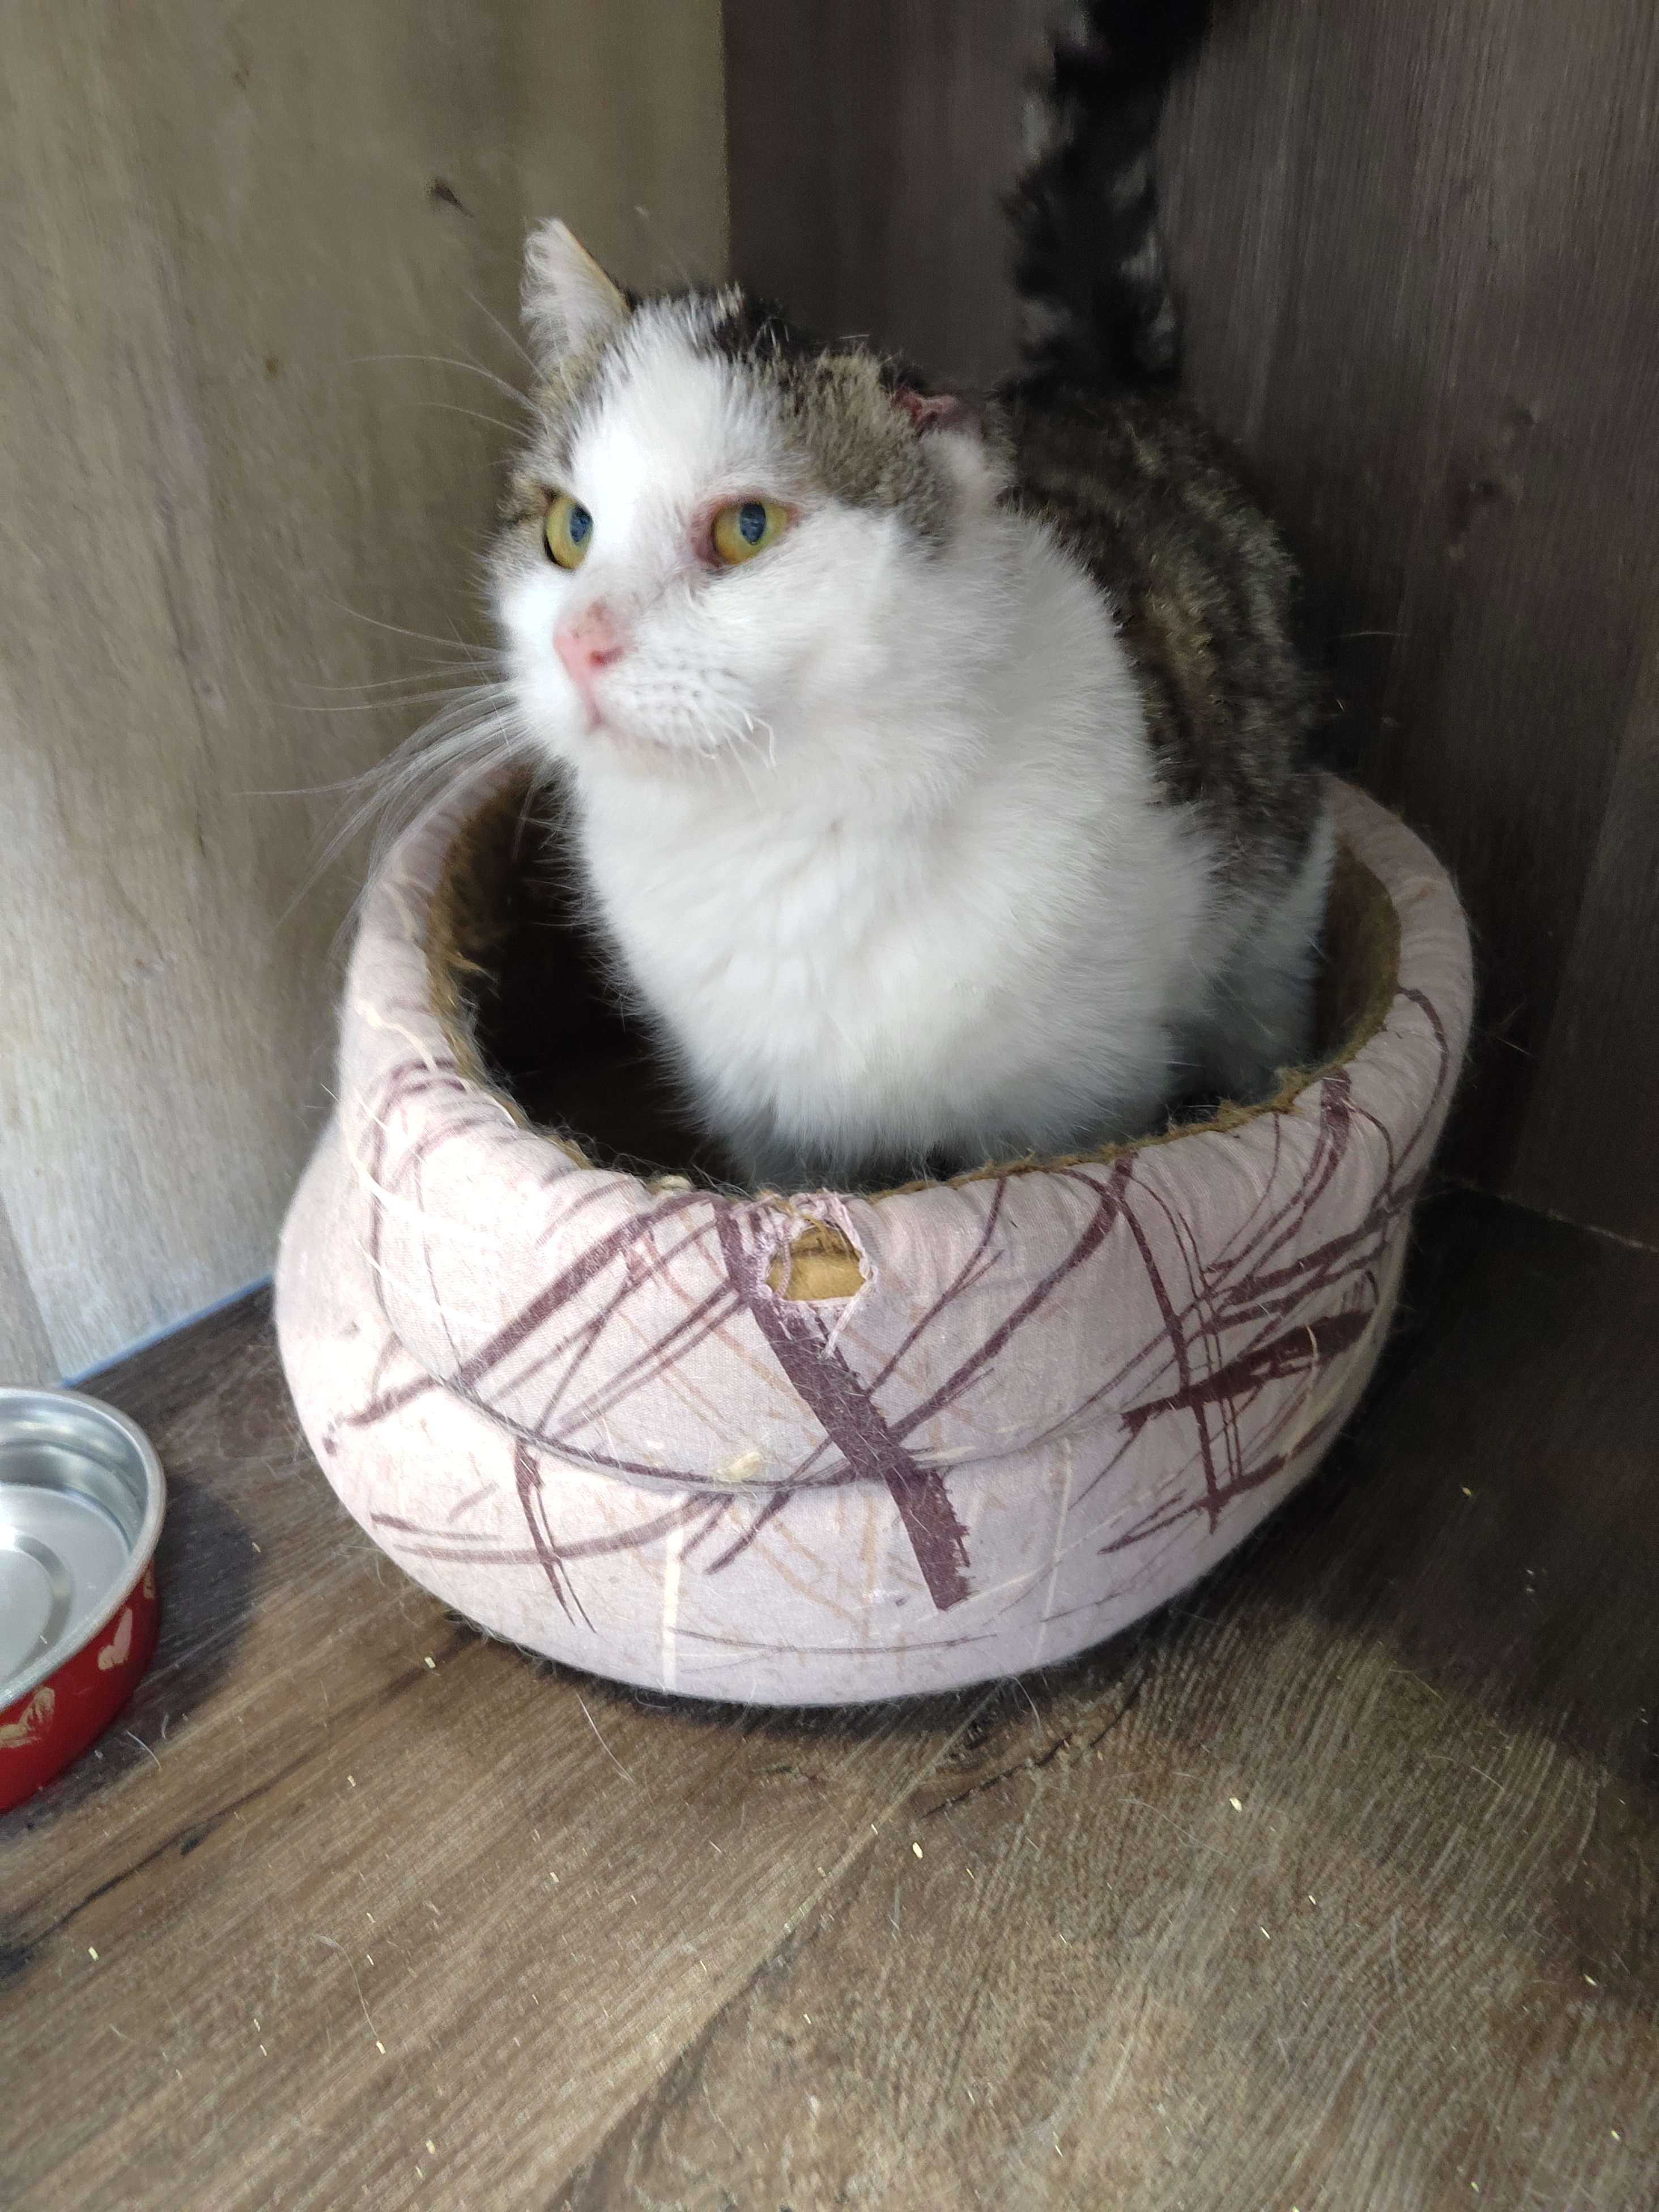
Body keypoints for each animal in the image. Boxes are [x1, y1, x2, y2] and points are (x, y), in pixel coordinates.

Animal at [488, 0, 1332, 1193]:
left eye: (746, 528)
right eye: (569, 528)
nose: (580, 641)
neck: (776, 828)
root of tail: (1100, 388)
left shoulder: (1079, 1101)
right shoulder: (767, 1124)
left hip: (1276, 916)